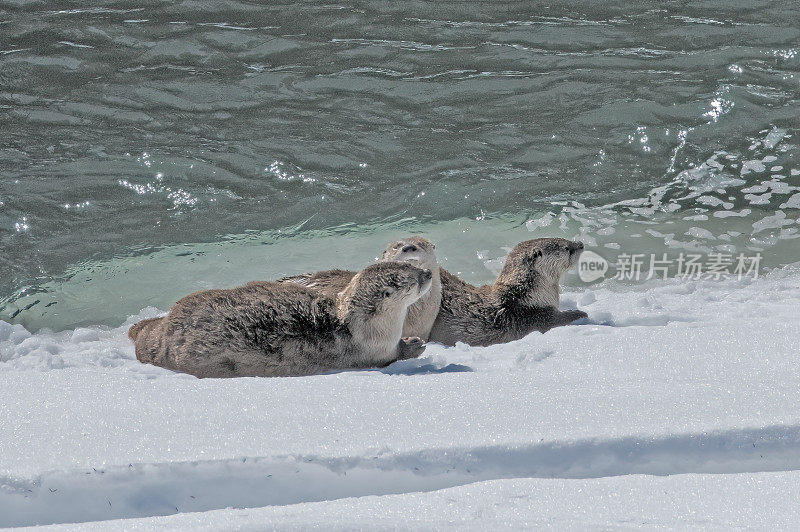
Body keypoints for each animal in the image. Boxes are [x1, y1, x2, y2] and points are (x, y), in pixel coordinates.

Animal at [129, 262, 434, 378]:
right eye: (410, 279)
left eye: (410, 265)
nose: (428, 273)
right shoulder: (373, 351)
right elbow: (392, 357)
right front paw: (414, 344)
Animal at [424, 239, 588, 348]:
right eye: (567, 248)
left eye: (566, 240)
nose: (580, 243)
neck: (523, 298)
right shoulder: (531, 318)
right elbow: (555, 320)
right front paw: (580, 313)